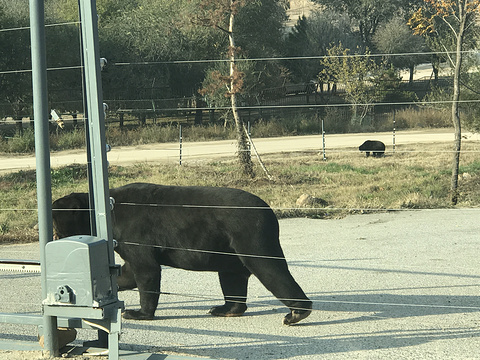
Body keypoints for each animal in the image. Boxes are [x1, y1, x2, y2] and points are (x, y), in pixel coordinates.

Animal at [51, 183, 312, 326]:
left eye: (56, 225)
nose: (52, 237)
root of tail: (270, 211)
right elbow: (129, 272)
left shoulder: (134, 233)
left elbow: (146, 270)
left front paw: (136, 313)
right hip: (228, 249)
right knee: (232, 277)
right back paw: (224, 309)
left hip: (251, 237)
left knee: (270, 270)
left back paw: (296, 313)